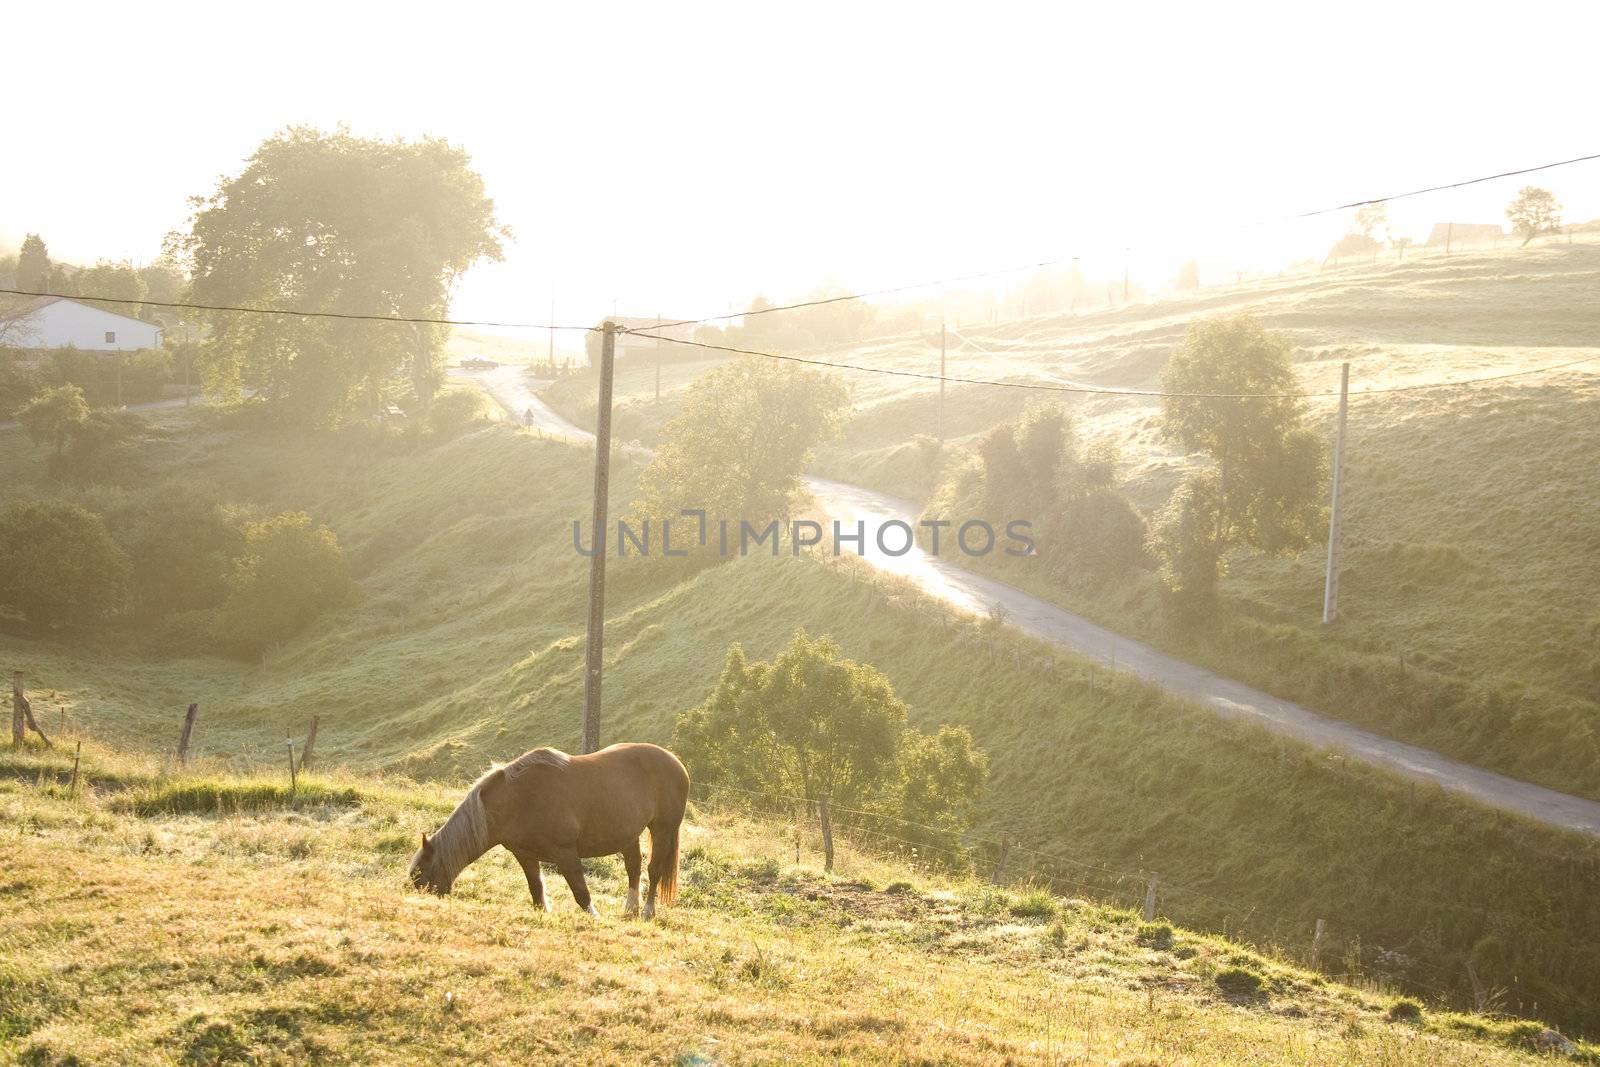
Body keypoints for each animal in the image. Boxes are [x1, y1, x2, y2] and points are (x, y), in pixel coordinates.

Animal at [406, 742, 688, 921]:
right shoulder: (525, 855)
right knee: (634, 869)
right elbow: (536, 889)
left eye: (421, 876)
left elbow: (581, 892)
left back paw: (647, 912)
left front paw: (595, 918)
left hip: (663, 830)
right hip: (629, 835)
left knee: (653, 871)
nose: (418, 900)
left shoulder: (566, 853)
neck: (518, 799)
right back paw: (630, 910)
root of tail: (675, 761)